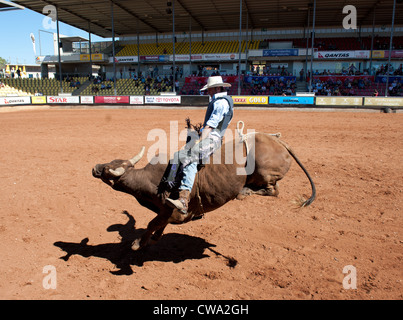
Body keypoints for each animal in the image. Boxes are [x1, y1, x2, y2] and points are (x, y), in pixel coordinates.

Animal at [92, 129, 316, 250]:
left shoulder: (170, 211)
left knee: (272, 190)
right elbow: (158, 225)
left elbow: (152, 223)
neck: (149, 180)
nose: (95, 167)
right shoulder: (168, 214)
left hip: (263, 170)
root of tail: (279, 141)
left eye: (107, 170)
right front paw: (153, 238)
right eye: (110, 162)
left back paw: (245, 192)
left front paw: (138, 243)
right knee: (273, 189)